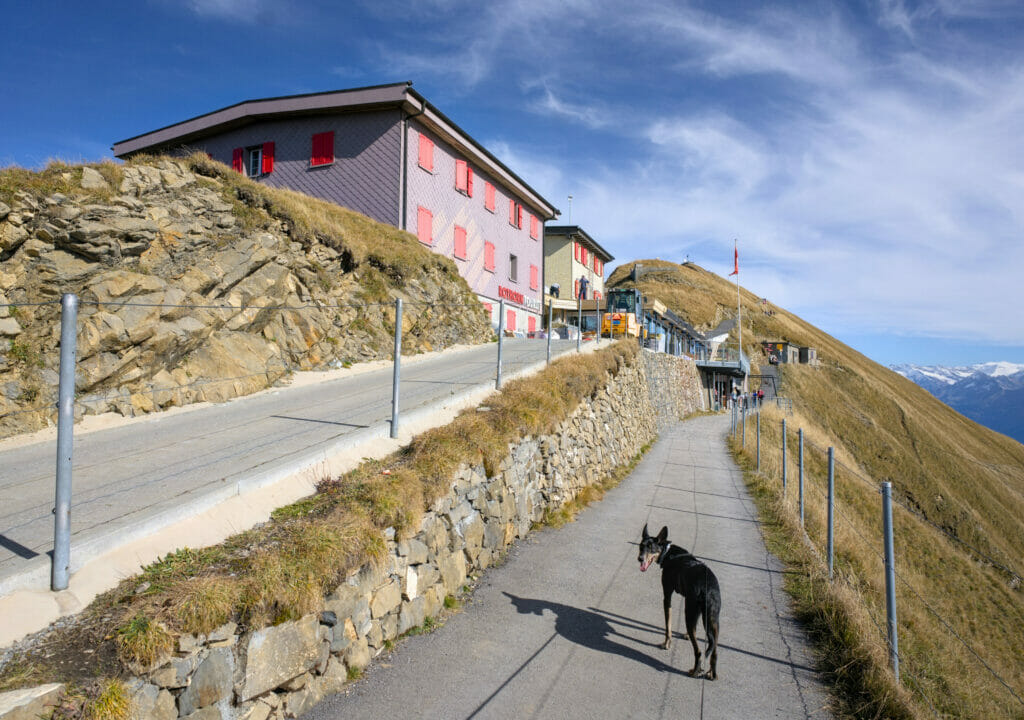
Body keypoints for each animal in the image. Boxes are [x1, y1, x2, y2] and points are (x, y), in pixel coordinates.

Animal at [638, 528, 720, 680]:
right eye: (641, 547)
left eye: (651, 548)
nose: (640, 559)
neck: (668, 552)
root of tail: (708, 589)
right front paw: (685, 635)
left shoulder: (667, 596)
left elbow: (668, 626)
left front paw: (666, 644)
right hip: (713, 619)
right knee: (714, 650)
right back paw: (712, 673)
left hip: (691, 613)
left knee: (699, 652)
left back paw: (694, 671)